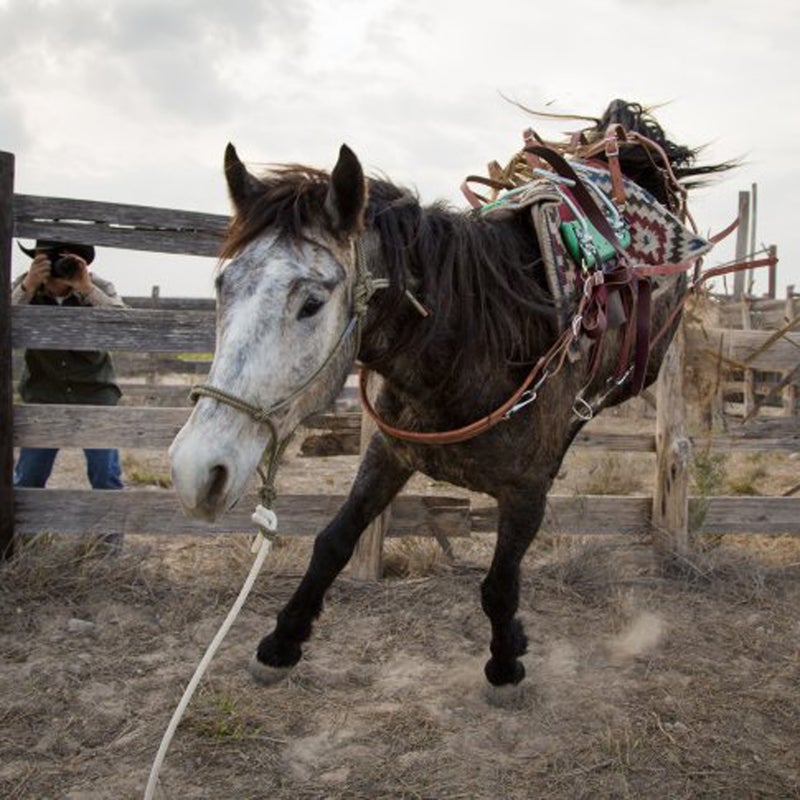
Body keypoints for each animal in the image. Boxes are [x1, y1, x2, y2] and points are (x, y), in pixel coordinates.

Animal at [170, 100, 732, 688]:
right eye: (223, 286)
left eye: (311, 304)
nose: (196, 470)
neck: (478, 339)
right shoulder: (389, 453)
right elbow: (332, 543)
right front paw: (282, 642)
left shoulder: (527, 493)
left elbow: (499, 585)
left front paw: (505, 662)